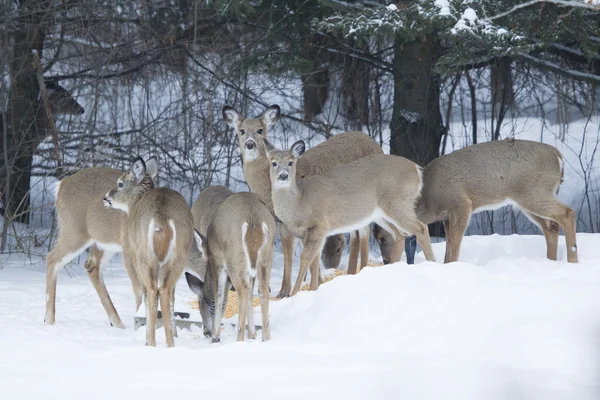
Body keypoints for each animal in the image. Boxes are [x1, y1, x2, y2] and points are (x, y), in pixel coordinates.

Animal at [103, 156, 195, 346]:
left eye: (120, 183)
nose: (106, 197)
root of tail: (162, 221)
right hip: (179, 257)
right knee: (167, 292)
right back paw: (171, 342)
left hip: (144, 257)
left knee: (152, 291)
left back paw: (150, 342)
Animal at [185, 189, 276, 342]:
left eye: (202, 301)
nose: (206, 332)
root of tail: (253, 221)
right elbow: (251, 295)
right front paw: (252, 335)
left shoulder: (218, 261)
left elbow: (219, 293)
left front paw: (215, 336)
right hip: (265, 258)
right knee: (261, 290)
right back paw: (265, 337)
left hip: (234, 257)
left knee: (243, 290)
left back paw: (239, 339)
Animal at [223, 104, 382, 296]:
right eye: (241, 131)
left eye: (260, 130)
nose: (250, 144)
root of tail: (376, 144)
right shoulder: (282, 222)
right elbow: (288, 252)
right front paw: (284, 291)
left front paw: (311, 285)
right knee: (356, 233)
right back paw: (351, 272)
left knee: (363, 232)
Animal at [264, 139, 434, 296]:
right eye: (273, 163)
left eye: (291, 162)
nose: (283, 176)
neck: (299, 203)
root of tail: (417, 170)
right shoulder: (309, 234)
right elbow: (314, 262)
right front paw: (314, 289)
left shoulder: (319, 226)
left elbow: (306, 259)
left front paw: (294, 294)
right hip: (381, 213)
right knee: (400, 235)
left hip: (397, 203)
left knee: (421, 228)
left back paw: (432, 263)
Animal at [372, 139, 580, 264]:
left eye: (382, 237)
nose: (386, 261)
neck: (428, 201)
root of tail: (558, 156)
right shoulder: (447, 217)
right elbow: (449, 245)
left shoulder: (461, 203)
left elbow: (455, 243)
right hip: (528, 199)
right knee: (550, 226)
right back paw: (551, 261)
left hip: (534, 192)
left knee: (567, 213)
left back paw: (572, 260)